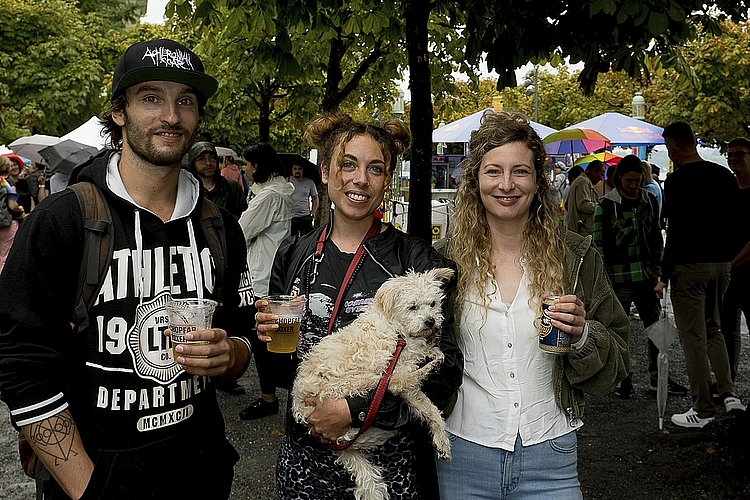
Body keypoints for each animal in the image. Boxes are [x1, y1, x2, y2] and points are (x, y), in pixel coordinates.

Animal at [292, 268, 456, 500]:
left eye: (432, 303)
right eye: (412, 306)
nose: (431, 322)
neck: (397, 329)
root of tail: (300, 410)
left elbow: (430, 409)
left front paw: (442, 442)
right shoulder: (400, 366)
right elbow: (423, 402)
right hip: (357, 381)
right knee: (394, 383)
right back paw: (426, 369)